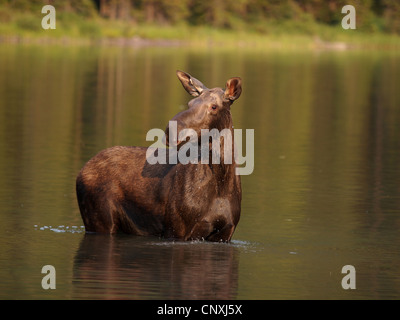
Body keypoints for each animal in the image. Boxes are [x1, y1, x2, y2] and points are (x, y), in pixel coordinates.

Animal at [76, 70, 242, 240]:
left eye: (214, 107)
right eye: (190, 103)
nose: (171, 130)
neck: (221, 183)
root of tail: (82, 170)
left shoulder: (226, 232)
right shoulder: (176, 229)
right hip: (99, 220)